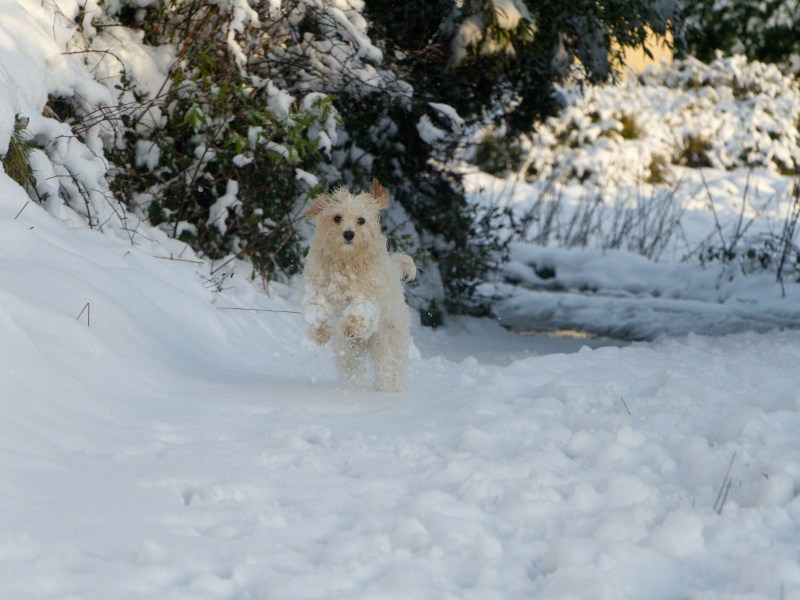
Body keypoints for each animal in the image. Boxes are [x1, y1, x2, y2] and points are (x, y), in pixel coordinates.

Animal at [302, 180, 418, 392]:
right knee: (352, 367)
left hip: (388, 341)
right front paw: (319, 332)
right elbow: (317, 308)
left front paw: (351, 326)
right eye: (337, 218)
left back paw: (387, 388)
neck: (346, 263)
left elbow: (359, 308)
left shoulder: (369, 295)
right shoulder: (316, 287)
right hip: (348, 352)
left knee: (389, 368)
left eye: (361, 220)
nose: (348, 233)